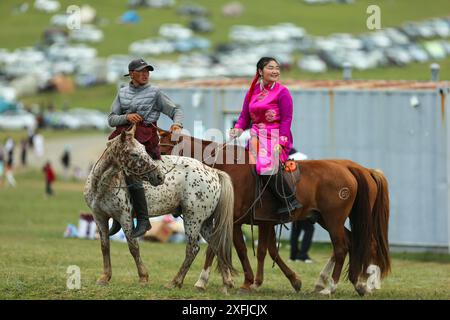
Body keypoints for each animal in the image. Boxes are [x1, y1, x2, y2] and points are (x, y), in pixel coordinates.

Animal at [83, 125, 236, 292]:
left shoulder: (125, 218)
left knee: (193, 249)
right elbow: (105, 246)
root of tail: (213, 172)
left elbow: (133, 246)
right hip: (205, 222)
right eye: (134, 154)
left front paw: (143, 277)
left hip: (193, 219)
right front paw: (105, 277)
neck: (103, 184)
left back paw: (175, 282)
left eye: (144, 150)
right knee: (216, 245)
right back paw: (225, 283)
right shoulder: (99, 217)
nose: (159, 176)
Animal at [159, 129, 390, 296]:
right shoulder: (246, 222)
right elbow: (250, 250)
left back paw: (332, 287)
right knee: (353, 244)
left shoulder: (236, 220)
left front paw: (210, 280)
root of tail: (352, 168)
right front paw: (255, 281)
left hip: (334, 220)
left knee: (345, 247)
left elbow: (237, 249)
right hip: (325, 219)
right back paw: (349, 283)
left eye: (159, 146)